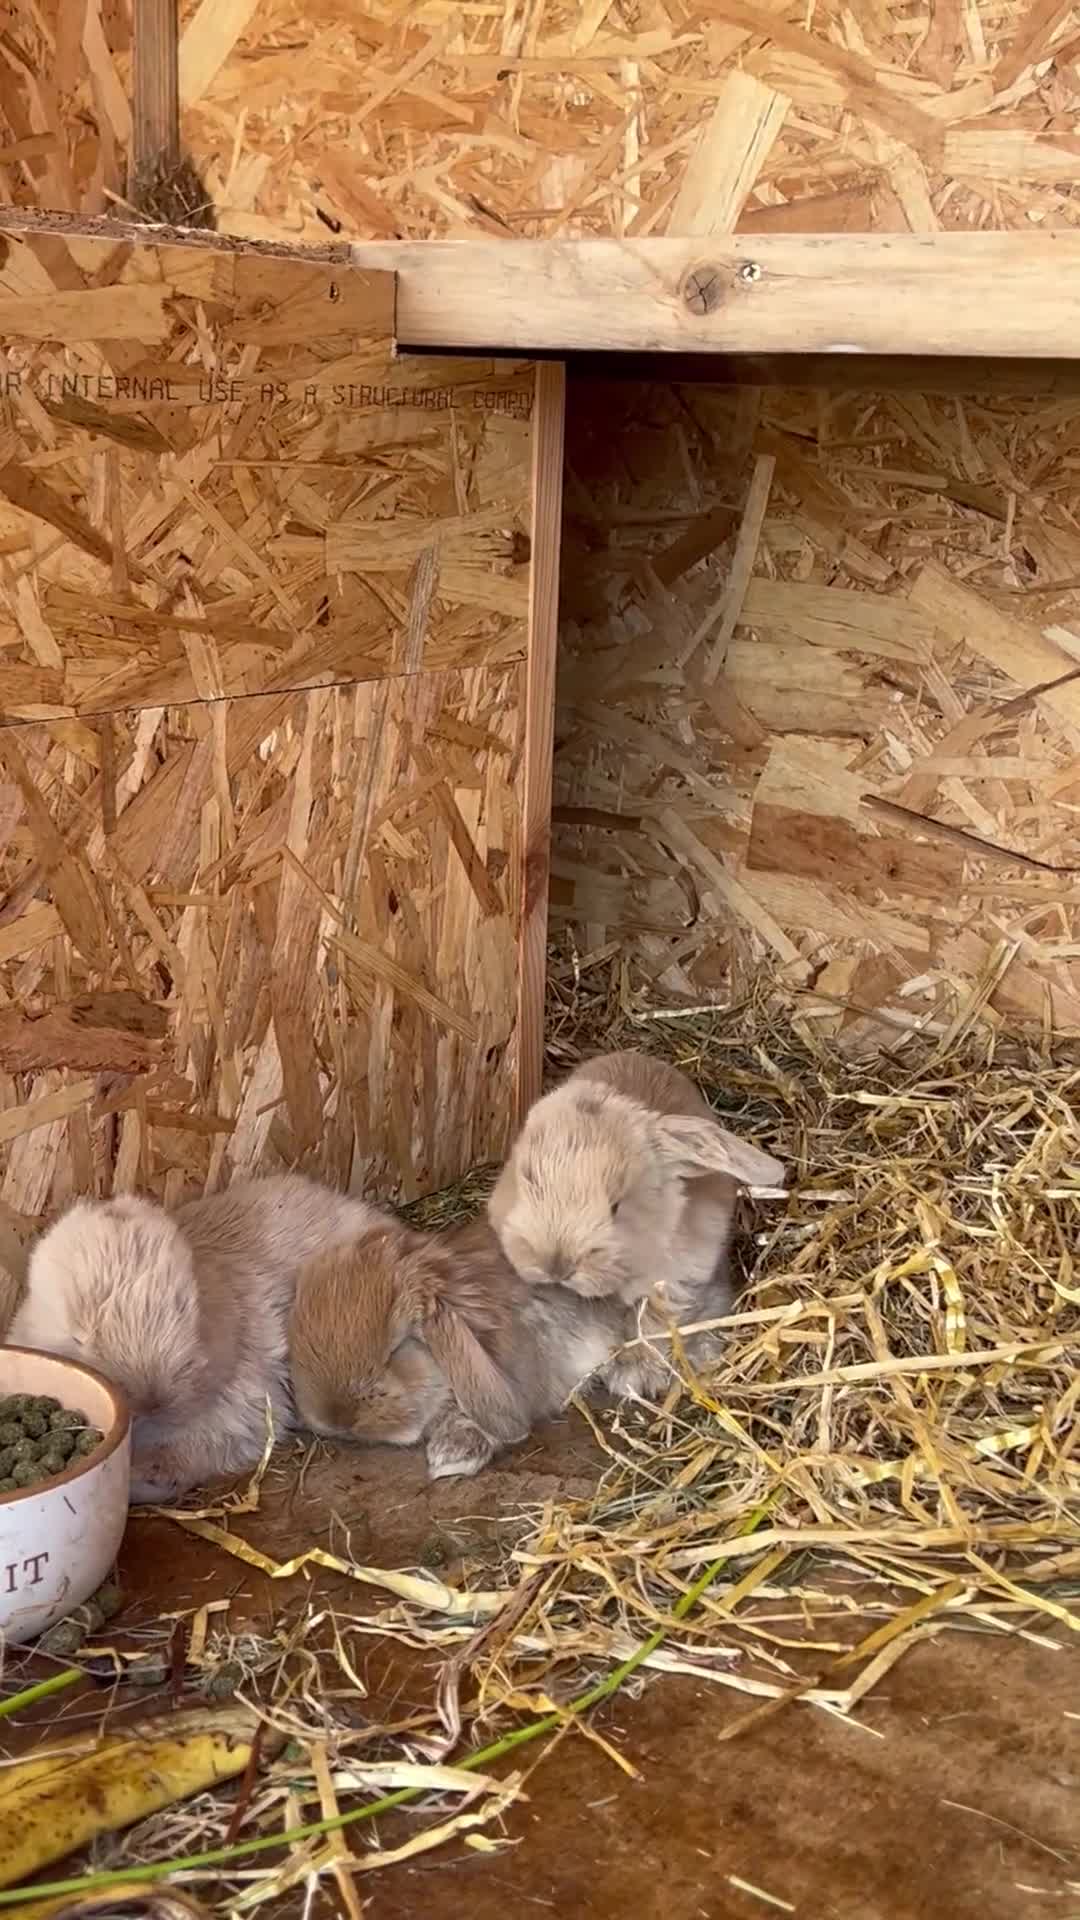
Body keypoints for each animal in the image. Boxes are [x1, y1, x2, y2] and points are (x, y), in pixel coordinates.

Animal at [488, 1048, 786, 1396]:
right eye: (526, 1180)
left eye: (616, 1205)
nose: (556, 1266)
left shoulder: (673, 1285)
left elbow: (651, 1324)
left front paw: (634, 1375)